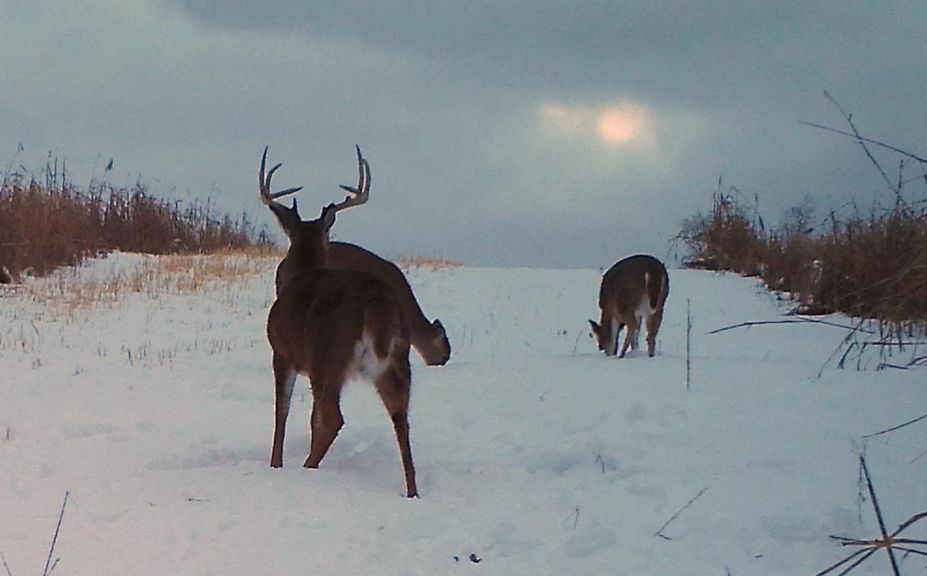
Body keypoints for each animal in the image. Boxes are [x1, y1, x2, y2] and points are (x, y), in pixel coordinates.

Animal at [260, 146, 420, 498]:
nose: (279, 269)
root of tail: (376, 302)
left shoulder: (282, 352)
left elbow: (282, 410)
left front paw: (275, 463)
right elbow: (310, 418)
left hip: (329, 354)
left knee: (335, 418)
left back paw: (308, 467)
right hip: (397, 361)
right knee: (401, 418)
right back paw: (412, 491)